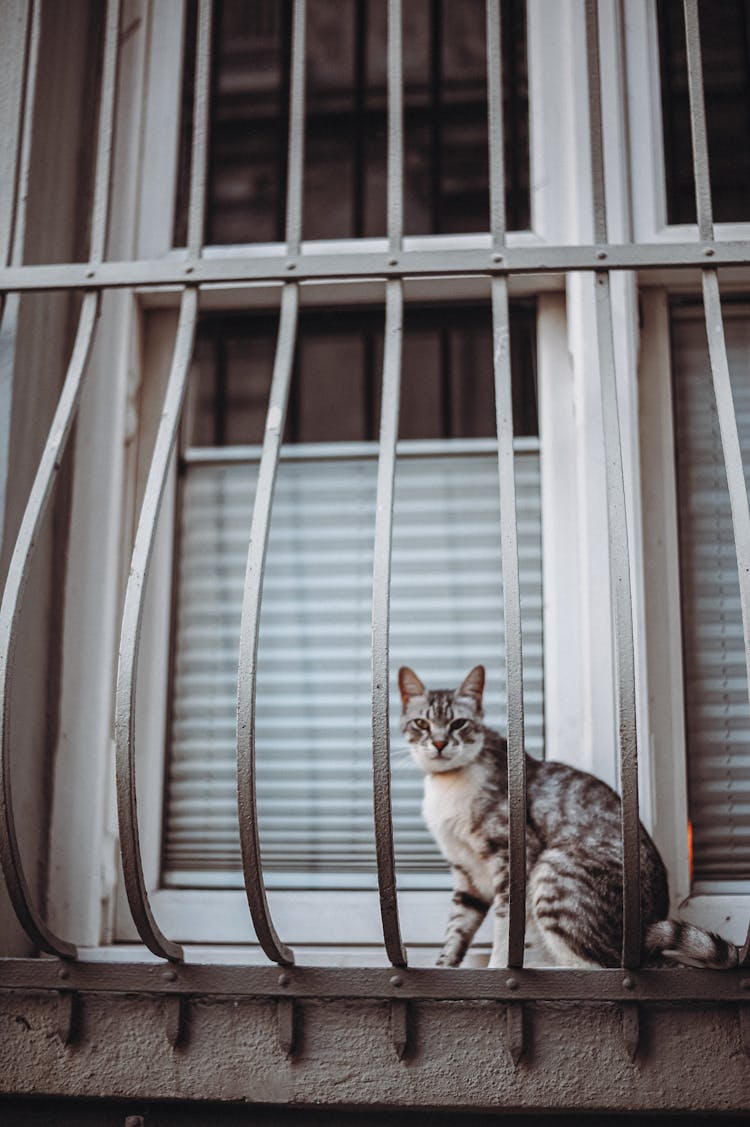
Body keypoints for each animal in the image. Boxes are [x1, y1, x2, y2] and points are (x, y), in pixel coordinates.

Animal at [396, 662, 735, 973]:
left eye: (458, 723)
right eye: (421, 723)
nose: (439, 743)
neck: (447, 786)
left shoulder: (513, 856)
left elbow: (506, 926)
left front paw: (497, 969)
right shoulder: (466, 875)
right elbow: (457, 929)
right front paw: (444, 966)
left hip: (553, 869)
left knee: (596, 966)